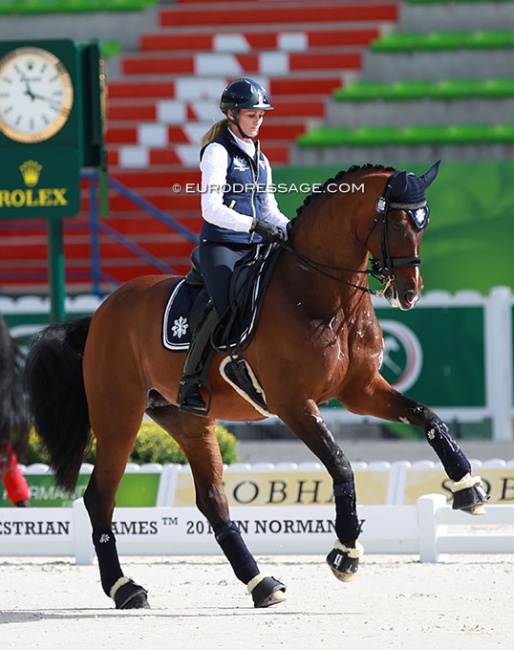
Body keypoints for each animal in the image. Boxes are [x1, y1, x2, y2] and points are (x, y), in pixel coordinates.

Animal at [24, 162, 486, 608]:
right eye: (397, 222)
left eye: (424, 222)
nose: (410, 294)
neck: (322, 296)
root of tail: (101, 313)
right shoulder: (294, 403)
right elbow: (340, 464)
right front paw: (346, 553)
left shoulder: (361, 391)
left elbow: (427, 416)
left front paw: (468, 488)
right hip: (119, 418)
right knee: (100, 498)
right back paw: (125, 589)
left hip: (188, 421)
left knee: (212, 500)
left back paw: (261, 584)